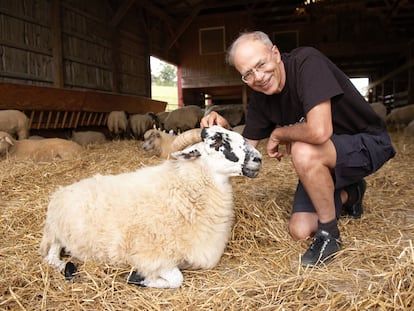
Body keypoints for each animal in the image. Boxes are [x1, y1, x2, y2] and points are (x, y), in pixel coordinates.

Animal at [40, 126, 264, 290]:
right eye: (217, 141)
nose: (258, 158)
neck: (185, 192)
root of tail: (61, 191)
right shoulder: (152, 256)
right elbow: (176, 279)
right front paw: (138, 279)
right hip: (57, 232)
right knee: (51, 256)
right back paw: (67, 267)